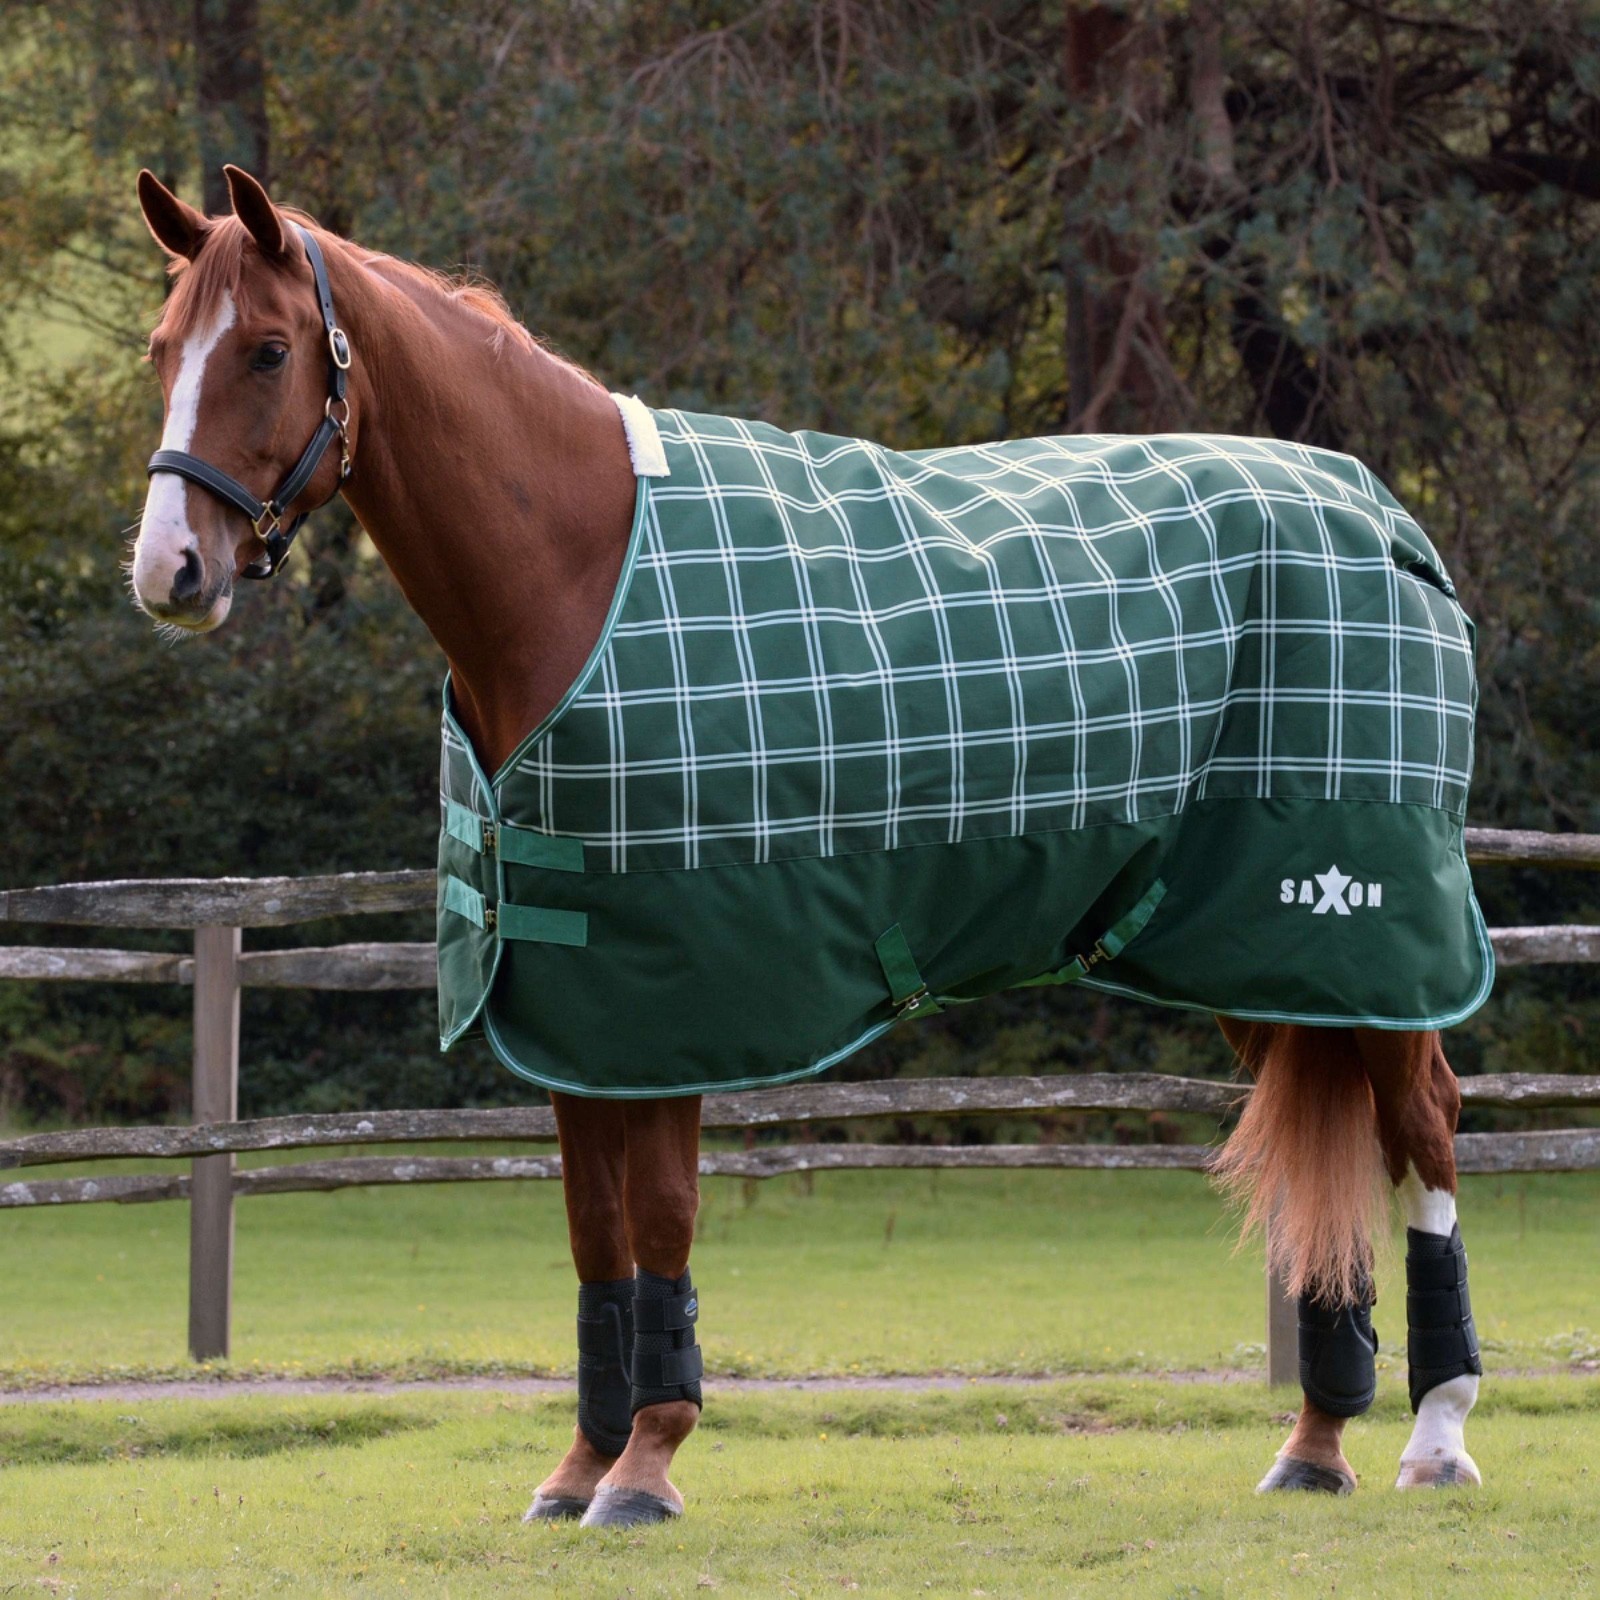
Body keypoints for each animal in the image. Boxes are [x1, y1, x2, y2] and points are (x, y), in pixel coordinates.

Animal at [128, 166, 1486, 1524]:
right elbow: (593, 1234)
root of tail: (1380, 514)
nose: (169, 572)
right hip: (1252, 953)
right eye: (160, 350)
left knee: (1422, 1121)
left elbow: (661, 1216)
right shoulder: (576, 1009)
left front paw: (648, 1461)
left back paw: (1436, 1430)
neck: (571, 570)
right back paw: (1315, 1441)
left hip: (1360, 931)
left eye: (266, 349)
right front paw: (580, 1464)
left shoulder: (666, 1000)